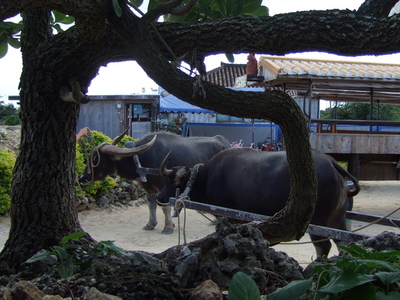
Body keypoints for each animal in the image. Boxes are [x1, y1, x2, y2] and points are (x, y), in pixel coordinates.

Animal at [79, 132, 230, 234]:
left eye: (95, 158)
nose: (82, 177)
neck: (139, 160)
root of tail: (224, 142)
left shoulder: (164, 187)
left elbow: (165, 206)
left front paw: (168, 227)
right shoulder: (149, 189)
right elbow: (151, 205)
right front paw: (151, 224)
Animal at [158, 146, 360, 256]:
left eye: (169, 181)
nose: (159, 197)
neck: (206, 177)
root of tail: (332, 163)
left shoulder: (228, 217)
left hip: (318, 221)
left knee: (323, 246)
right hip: (337, 219)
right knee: (344, 244)